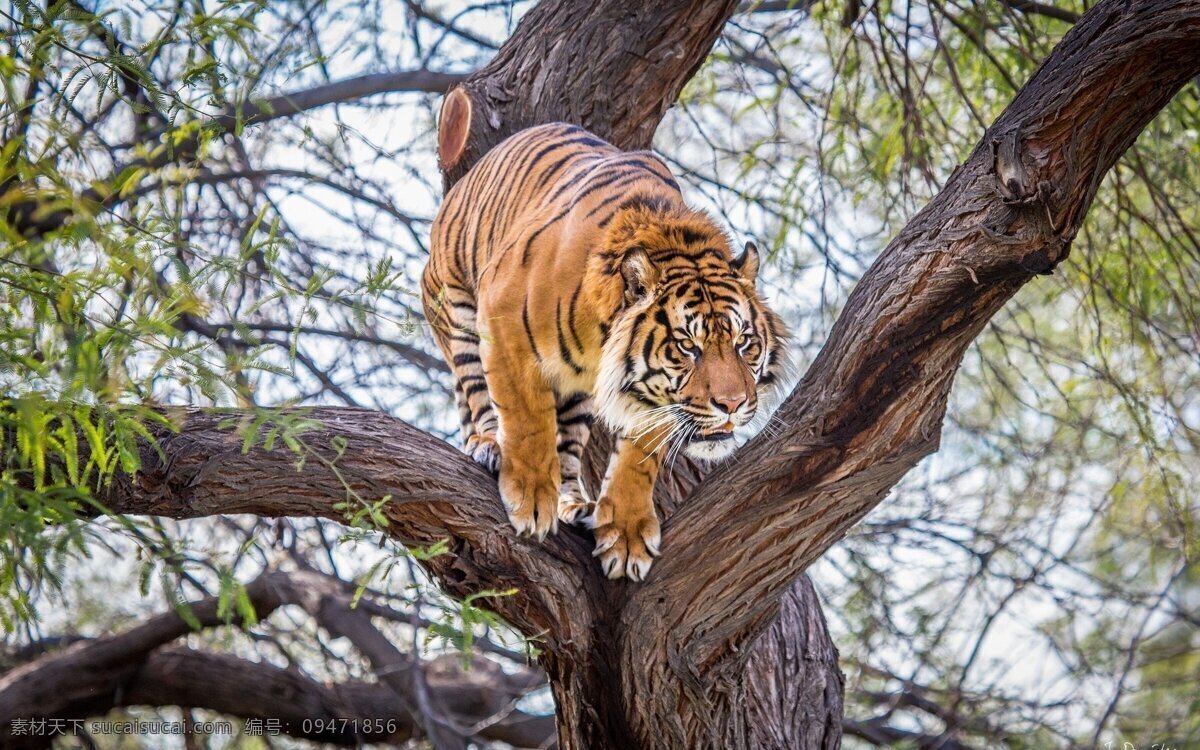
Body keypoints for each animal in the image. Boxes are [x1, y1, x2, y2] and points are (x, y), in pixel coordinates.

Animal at [420, 121, 787, 578]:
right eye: (688, 346)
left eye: (743, 343)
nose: (732, 404)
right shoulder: (503, 322)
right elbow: (526, 419)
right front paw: (530, 498)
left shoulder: (654, 399)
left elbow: (639, 458)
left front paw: (626, 536)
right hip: (457, 309)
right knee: (477, 395)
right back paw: (490, 446)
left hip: (578, 394)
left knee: (568, 448)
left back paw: (574, 503)